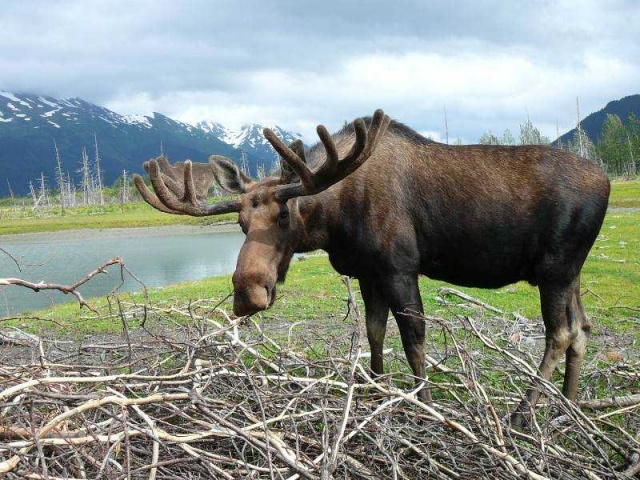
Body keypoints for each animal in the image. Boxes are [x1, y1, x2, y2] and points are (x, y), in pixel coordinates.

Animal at [134, 109, 608, 424]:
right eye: (240, 222)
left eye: (285, 215)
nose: (248, 294)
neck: (334, 219)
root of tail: (605, 180)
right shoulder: (367, 271)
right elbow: (375, 331)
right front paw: (375, 392)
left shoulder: (400, 266)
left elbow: (414, 337)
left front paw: (424, 404)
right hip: (571, 274)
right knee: (582, 328)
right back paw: (570, 407)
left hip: (555, 270)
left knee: (560, 333)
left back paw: (525, 413)